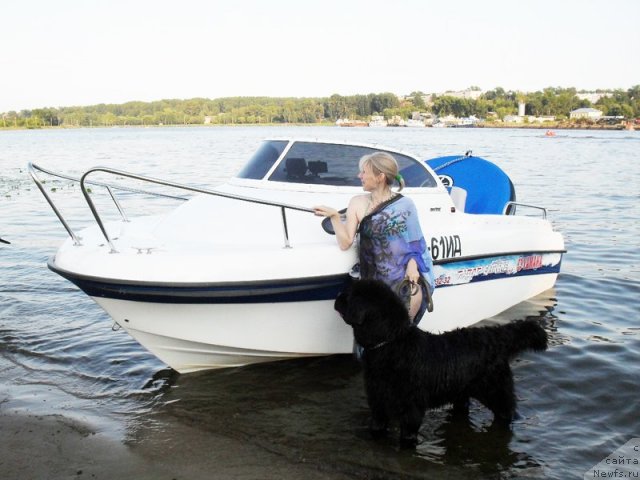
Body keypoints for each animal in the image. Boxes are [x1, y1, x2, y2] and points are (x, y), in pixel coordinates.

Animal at [332, 278, 548, 446]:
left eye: (348, 296)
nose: (336, 298)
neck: (391, 344)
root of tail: (495, 336)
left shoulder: (412, 408)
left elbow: (407, 435)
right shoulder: (378, 401)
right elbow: (376, 427)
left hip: (497, 391)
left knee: (507, 411)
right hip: (462, 392)